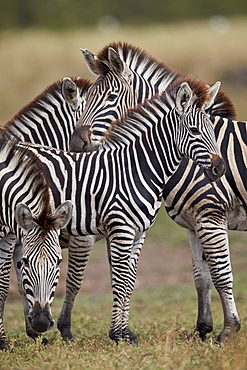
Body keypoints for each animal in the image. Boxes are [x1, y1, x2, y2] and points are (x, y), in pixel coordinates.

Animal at [68, 42, 244, 342]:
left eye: (111, 97)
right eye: (87, 96)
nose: (76, 143)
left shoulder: (211, 216)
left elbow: (222, 275)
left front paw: (228, 331)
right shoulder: (194, 223)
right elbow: (202, 278)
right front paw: (202, 329)